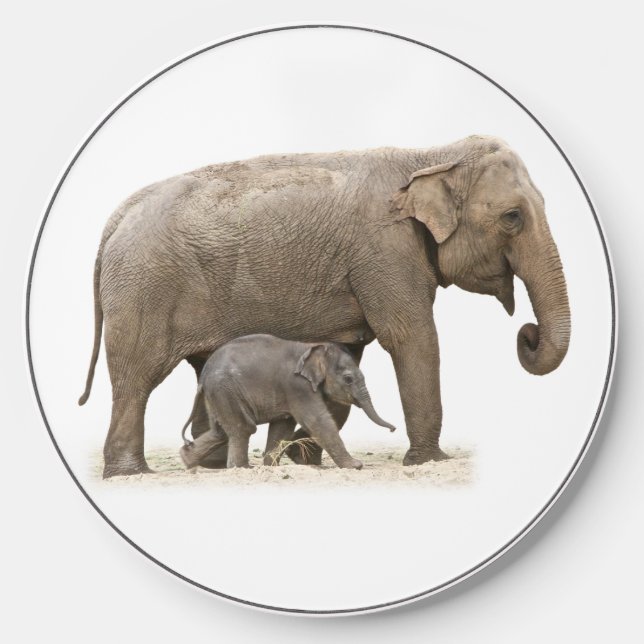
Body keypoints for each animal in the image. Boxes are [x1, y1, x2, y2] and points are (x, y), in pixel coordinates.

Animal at [178, 334, 395, 470]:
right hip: (226, 390)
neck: (313, 347)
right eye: (348, 379)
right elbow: (317, 420)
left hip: (218, 394)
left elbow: (282, 426)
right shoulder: (297, 386)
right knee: (243, 428)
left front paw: (271, 467)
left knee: (221, 431)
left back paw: (187, 461)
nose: (393, 430)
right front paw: (356, 466)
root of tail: (203, 377)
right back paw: (242, 468)